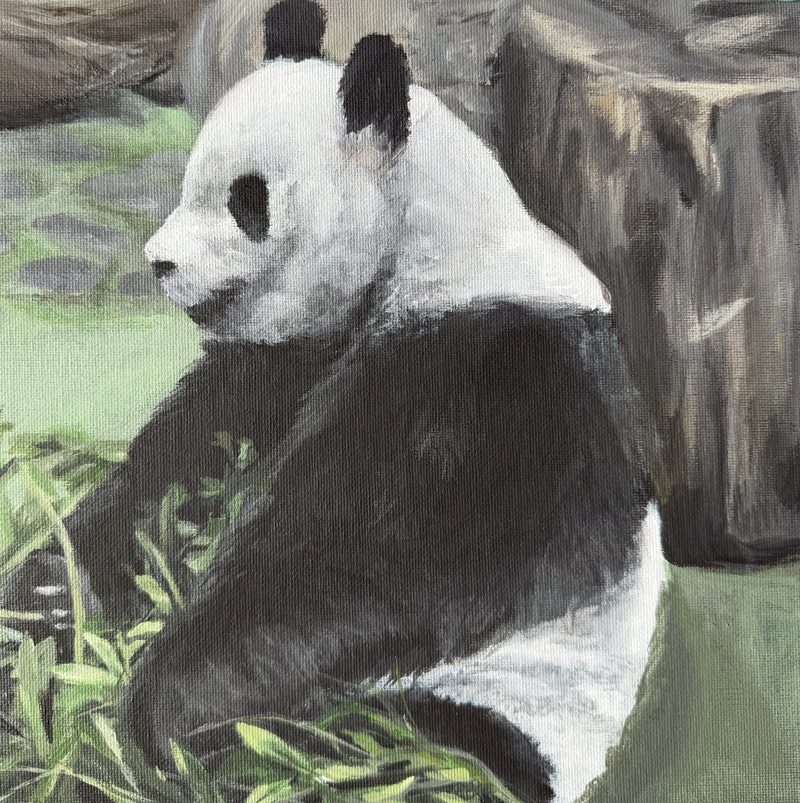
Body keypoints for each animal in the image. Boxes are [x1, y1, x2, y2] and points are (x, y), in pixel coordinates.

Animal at [7, 2, 665, 801]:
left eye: (248, 198)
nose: (160, 263)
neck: (426, 251)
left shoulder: (497, 373)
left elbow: (372, 566)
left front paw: (162, 710)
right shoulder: (286, 358)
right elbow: (176, 469)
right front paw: (50, 593)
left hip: (453, 727)